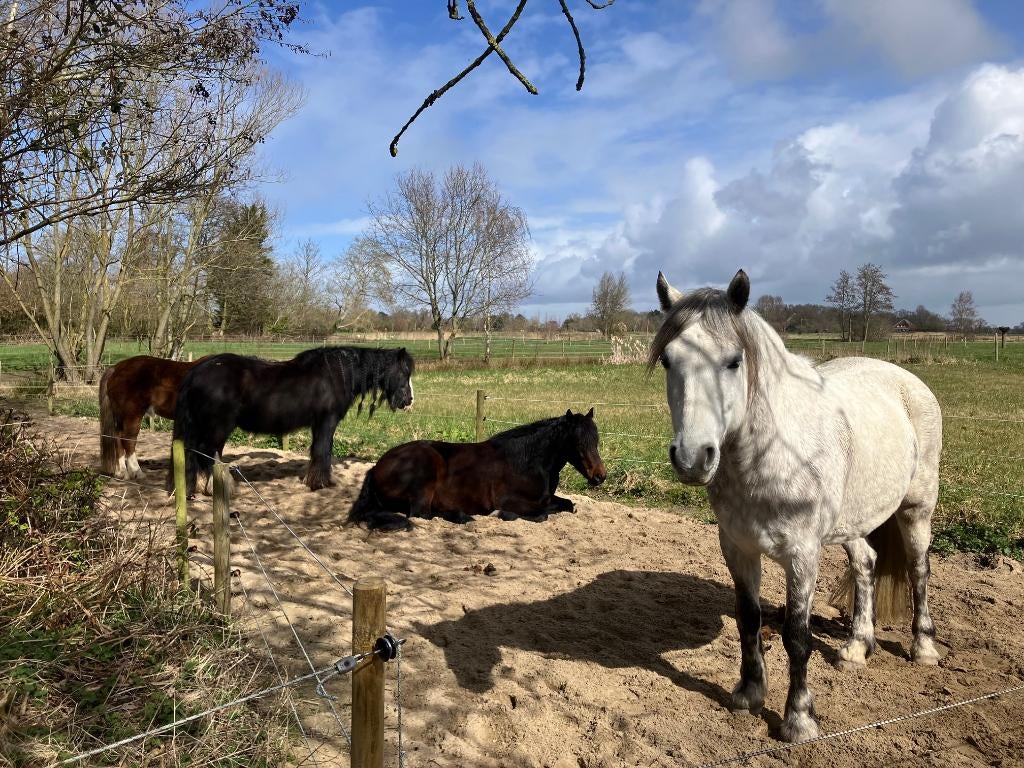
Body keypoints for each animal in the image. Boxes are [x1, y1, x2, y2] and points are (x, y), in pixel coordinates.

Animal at [171, 346, 415, 495]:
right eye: (404, 372)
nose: (408, 400)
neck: (338, 374)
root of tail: (196, 371)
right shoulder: (327, 421)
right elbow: (323, 450)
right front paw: (321, 483)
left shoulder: (319, 424)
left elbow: (317, 451)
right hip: (218, 428)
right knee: (207, 455)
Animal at [347, 409, 608, 531]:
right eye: (577, 443)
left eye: (596, 440)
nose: (600, 476)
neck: (528, 461)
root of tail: (377, 467)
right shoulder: (511, 501)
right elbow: (541, 514)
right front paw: (501, 515)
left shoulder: (549, 497)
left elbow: (569, 505)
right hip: (425, 474)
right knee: (421, 514)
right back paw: (463, 516)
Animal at [649, 269, 942, 743]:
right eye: (667, 361)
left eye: (734, 361)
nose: (693, 458)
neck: (773, 453)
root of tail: (906, 380)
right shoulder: (737, 547)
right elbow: (748, 619)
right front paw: (748, 694)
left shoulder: (803, 555)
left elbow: (797, 636)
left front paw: (798, 718)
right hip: (852, 522)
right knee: (867, 563)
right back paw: (856, 647)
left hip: (916, 510)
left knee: (919, 570)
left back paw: (924, 647)